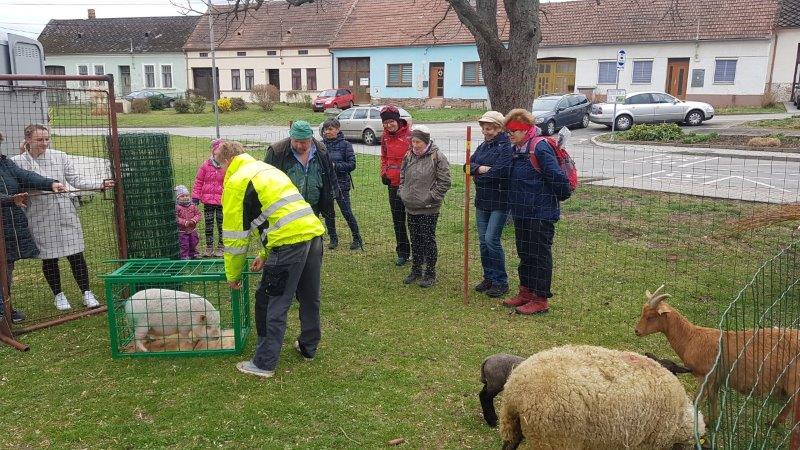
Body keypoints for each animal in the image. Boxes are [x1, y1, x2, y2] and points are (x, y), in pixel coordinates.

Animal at [636, 284, 800, 426]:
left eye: (651, 316)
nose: (636, 331)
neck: (691, 338)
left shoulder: (706, 376)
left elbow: (698, 400)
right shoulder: (716, 379)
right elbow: (713, 398)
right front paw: (711, 421)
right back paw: (774, 423)